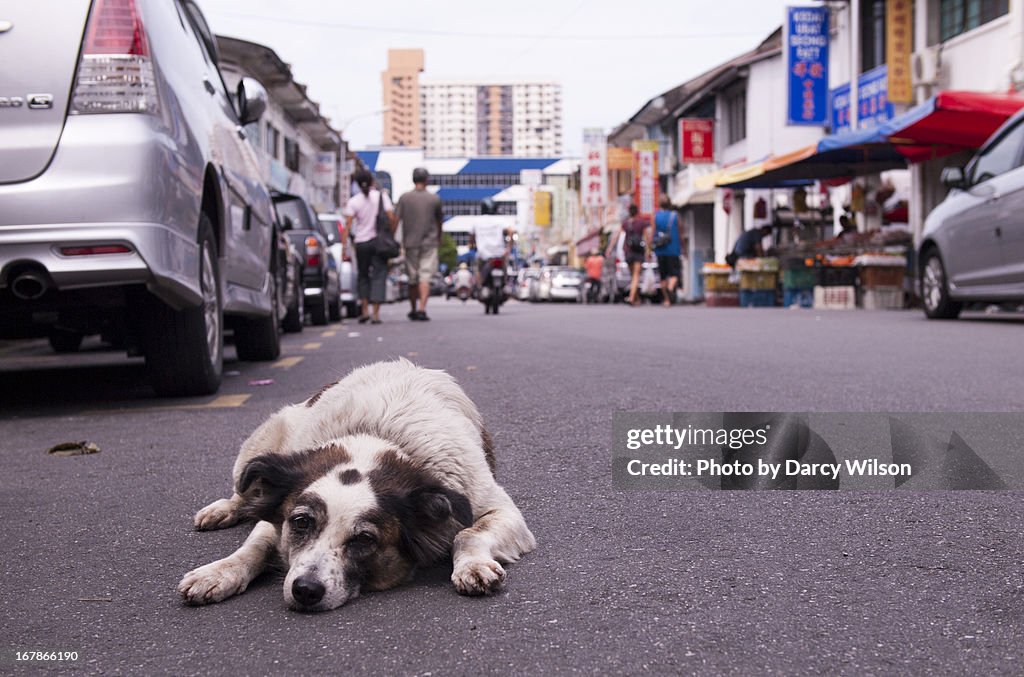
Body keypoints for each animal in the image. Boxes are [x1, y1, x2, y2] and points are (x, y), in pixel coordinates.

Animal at [177, 358, 536, 614]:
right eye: (301, 522)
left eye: (364, 539)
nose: (305, 590)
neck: (377, 440)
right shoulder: (278, 511)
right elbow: (255, 545)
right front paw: (219, 572)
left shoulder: (496, 508)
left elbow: (468, 533)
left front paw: (472, 564)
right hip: (258, 448)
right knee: (243, 490)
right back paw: (224, 508)